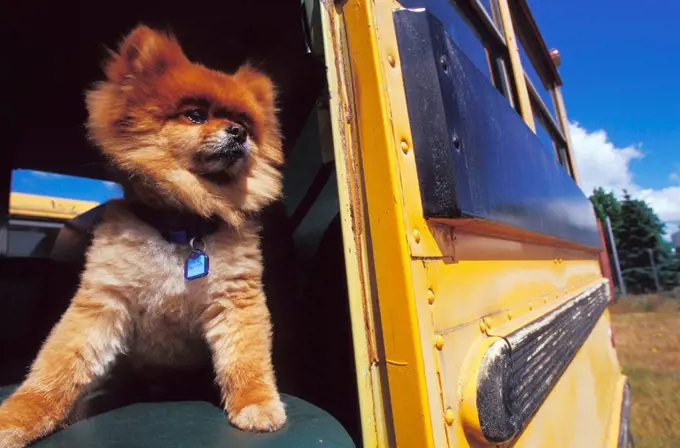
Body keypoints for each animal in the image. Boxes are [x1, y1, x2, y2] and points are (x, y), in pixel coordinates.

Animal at [0, 25, 286, 448]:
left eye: (245, 124)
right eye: (195, 115)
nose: (238, 133)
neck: (182, 223)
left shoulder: (236, 299)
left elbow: (246, 359)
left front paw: (256, 403)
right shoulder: (103, 301)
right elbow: (57, 366)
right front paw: (21, 414)